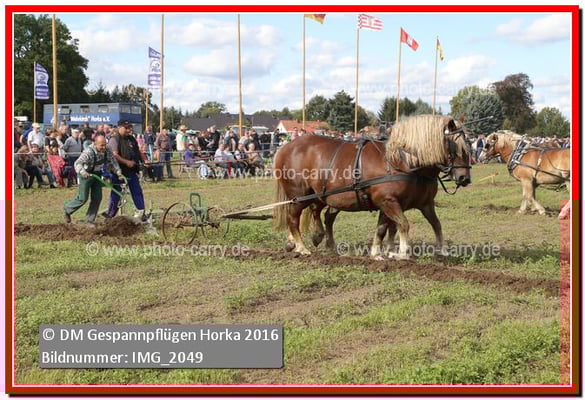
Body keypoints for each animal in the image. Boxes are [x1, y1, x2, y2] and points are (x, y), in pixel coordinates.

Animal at [272, 114, 472, 259]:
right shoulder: (388, 201)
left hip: (324, 195)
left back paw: (318, 240)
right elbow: (403, 225)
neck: (401, 161)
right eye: (454, 147)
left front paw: (379, 253)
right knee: (293, 219)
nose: (465, 178)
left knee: (322, 214)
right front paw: (401, 254)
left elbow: (429, 224)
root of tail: (285, 148)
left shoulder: (420, 203)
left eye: (469, 145)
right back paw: (301, 247)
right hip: (299, 195)